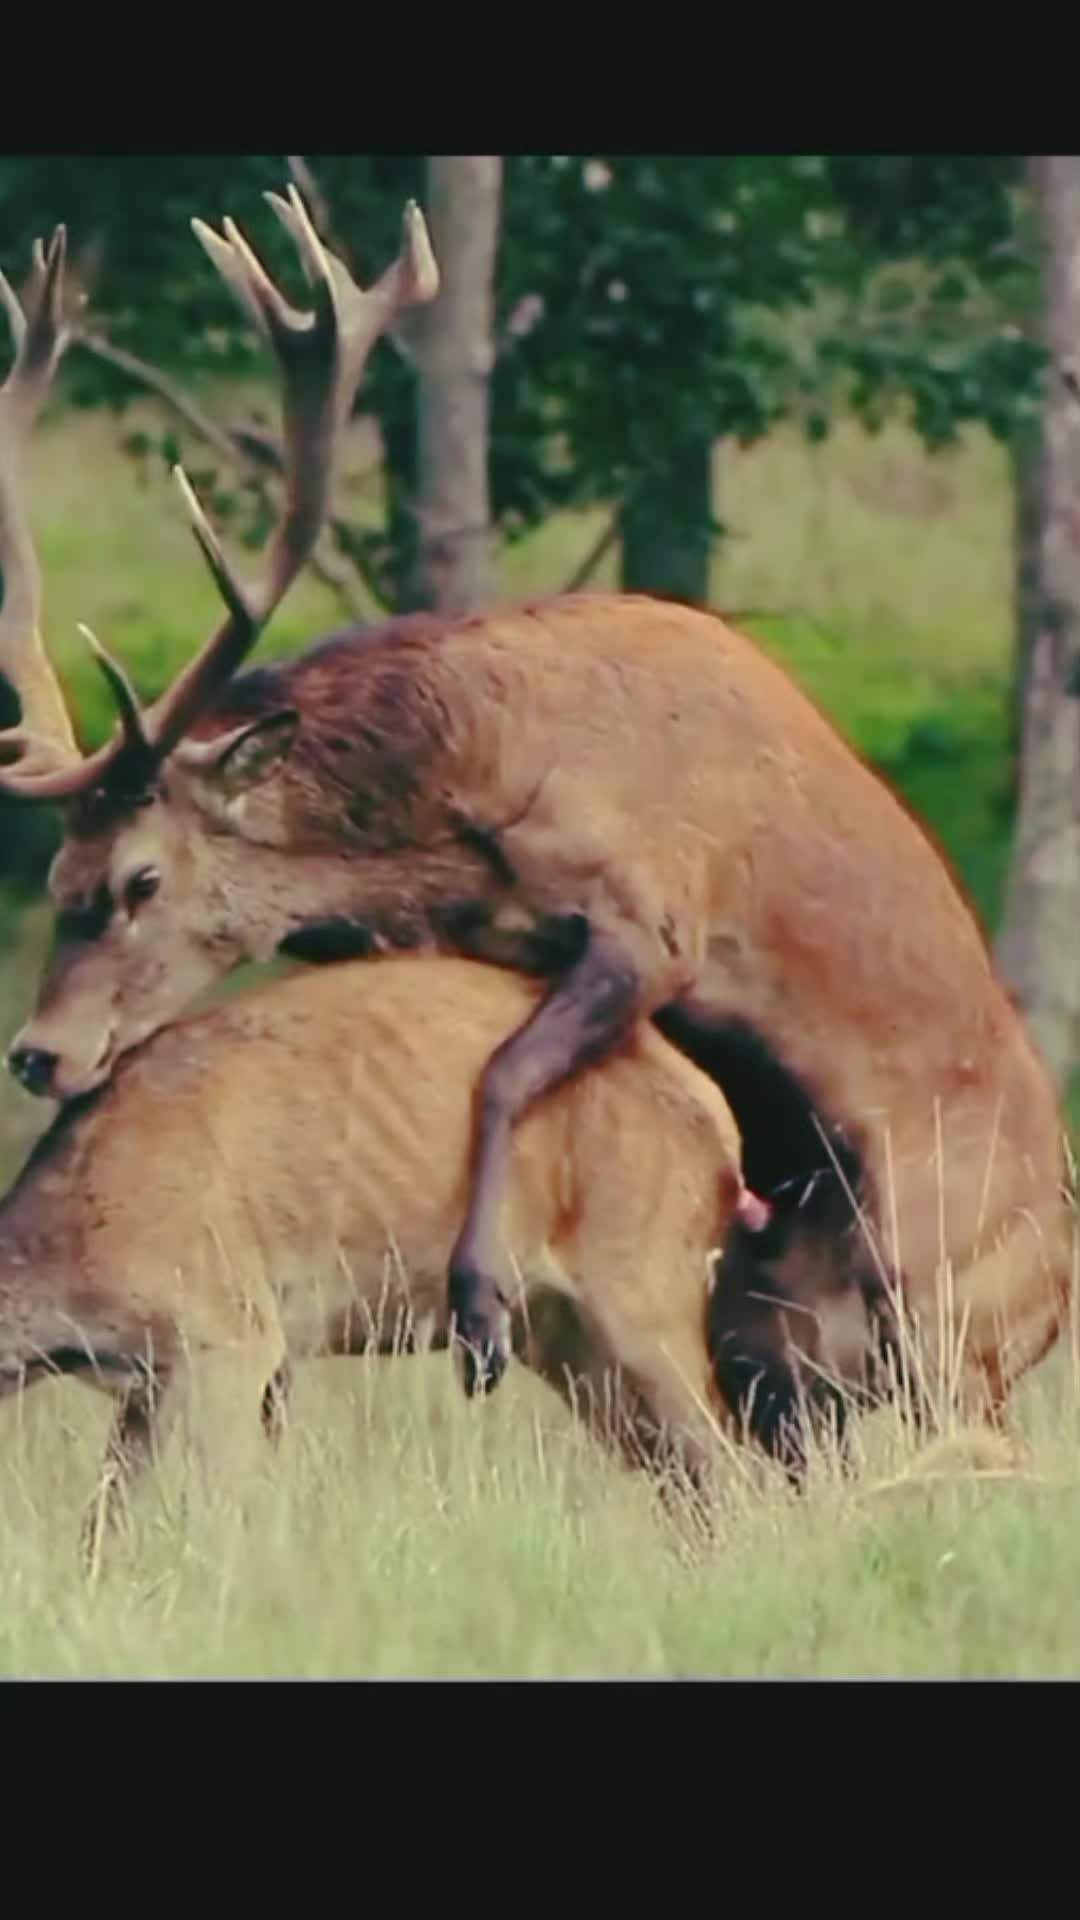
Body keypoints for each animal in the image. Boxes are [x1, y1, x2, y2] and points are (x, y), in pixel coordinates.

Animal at [0, 195, 1071, 1459]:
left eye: (142, 880)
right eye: (58, 872)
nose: (37, 1052)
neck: (474, 788)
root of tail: (1060, 1293)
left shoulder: (655, 915)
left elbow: (508, 1074)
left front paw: (476, 1298)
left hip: (962, 1338)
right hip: (783, 1349)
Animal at [0, 948, 817, 1560]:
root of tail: (717, 1117)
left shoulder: (228, 1329)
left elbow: (222, 1505)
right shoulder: (151, 1383)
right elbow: (104, 1524)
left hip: (644, 1280)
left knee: (732, 1461)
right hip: (558, 1335)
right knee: (684, 1473)